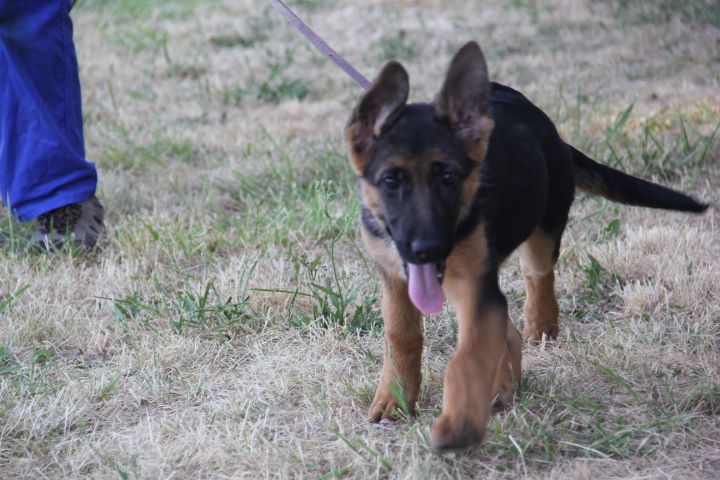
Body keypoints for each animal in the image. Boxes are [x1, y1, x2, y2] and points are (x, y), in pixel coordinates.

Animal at [344, 41, 708, 451]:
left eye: (449, 178)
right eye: (391, 181)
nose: (428, 249)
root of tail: (546, 125)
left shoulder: (473, 285)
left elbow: (469, 355)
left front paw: (459, 423)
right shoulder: (394, 278)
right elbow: (401, 337)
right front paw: (394, 401)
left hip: (545, 230)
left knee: (538, 276)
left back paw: (539, 329)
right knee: (506, 327)